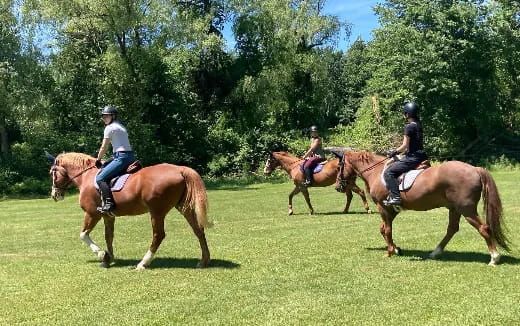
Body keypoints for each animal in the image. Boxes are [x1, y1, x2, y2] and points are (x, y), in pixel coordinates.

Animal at [46, 153, 211, 270]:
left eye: (52, 173)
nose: (54, 195)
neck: (87, 177)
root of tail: (180, 169)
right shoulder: (107, 216)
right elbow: (109, 236)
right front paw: (108, 258)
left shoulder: (92, 214)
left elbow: (83, 235)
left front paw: (102, 254)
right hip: (184, 208)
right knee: (198, 230)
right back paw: (204, 260)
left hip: (156, 212)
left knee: (158, 235)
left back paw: (143, 263)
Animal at [336, 150, 510, 264]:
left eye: (338, 167)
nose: (338, 186)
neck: (376, 172)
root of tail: (475, 169)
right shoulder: (391, 209)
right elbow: (383, 229)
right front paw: (396, 249)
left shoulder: (383, 208)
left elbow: (387, 230)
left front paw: (390, 252)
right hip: (454, 208)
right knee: (452, 229)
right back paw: (435, 252)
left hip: (466, 209)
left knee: (483, 228)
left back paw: (494, 258)